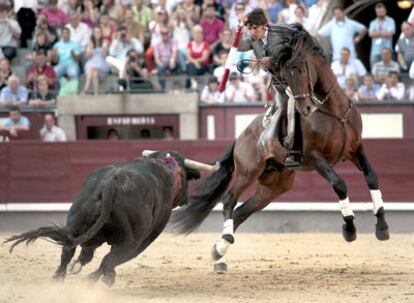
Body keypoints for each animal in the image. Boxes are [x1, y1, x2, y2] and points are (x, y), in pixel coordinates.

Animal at [3, 152, 215, 288]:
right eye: (187, 179)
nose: (186, 198)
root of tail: (109, 186)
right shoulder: (147, 238)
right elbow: (110, 260)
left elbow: (87, 253)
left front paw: (78, 266)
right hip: (132, 241)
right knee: (109, 260)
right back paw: (98, 280)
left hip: (77, 220)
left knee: (68, 250)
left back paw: (58, 278)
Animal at [172, 23, 392, 274]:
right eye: (286, 73)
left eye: (301, 69)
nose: (306, 108)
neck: (332, 110)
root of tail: (241, 137)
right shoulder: (315, 157)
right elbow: (339, 184)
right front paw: (350, 229)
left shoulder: (355, 147)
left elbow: (371, 176)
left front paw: (382, 227)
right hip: (248, 172)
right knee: (229, 201)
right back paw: (223, 246)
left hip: (275, 185)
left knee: (241, 213)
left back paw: (219, 253)